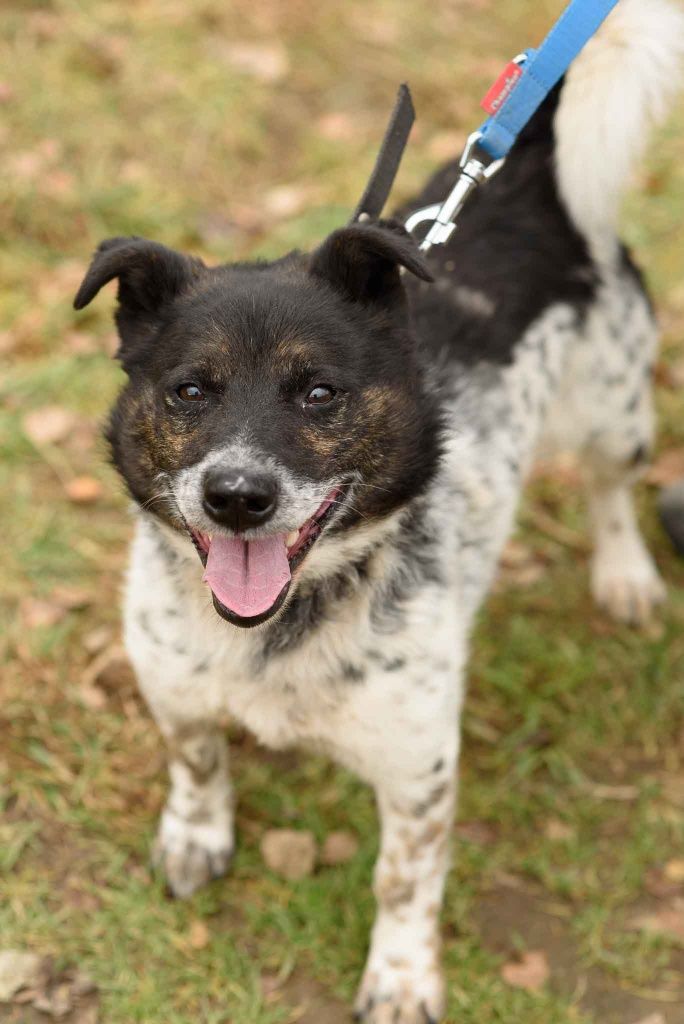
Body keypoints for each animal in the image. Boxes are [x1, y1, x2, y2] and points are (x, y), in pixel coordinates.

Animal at [72, 4, 679, 1019]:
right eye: (189, 391)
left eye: (320, 394)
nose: (237, 497)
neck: (279, 631)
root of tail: (531, 177)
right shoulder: (172, 683)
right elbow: (197, 760)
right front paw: (196, 835)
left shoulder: (418, 764)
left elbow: (402, 879)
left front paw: (399, 977)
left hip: (614, 409)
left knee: (607, 489)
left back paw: (626, 573)